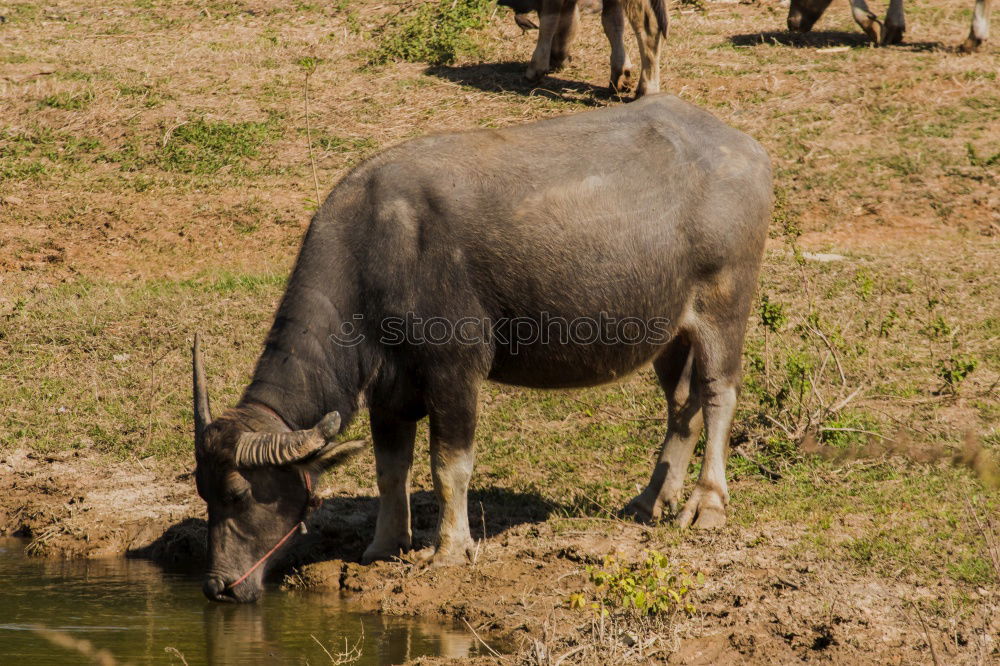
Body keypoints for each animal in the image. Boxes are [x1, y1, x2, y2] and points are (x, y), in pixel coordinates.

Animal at [195, 93, 772, 600]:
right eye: (204, 491)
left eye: (241, 494)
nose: (219, 586)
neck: (379, 252)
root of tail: (747, 147)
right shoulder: (388, 390)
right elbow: (390, 469)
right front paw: (385, 546)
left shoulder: (455, 373)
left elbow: (449, 465)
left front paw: (450, 551)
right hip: (671, 330)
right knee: (682, 404)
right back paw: (651, 500)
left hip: (724, 306)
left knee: (718, 394)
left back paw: (707, 505)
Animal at [498, 0, 668, 96]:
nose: (556, 60)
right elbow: (612, 21)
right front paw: (620, 75)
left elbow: (550, 18)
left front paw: (535, 69)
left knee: (649, 25)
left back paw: (647, 89)